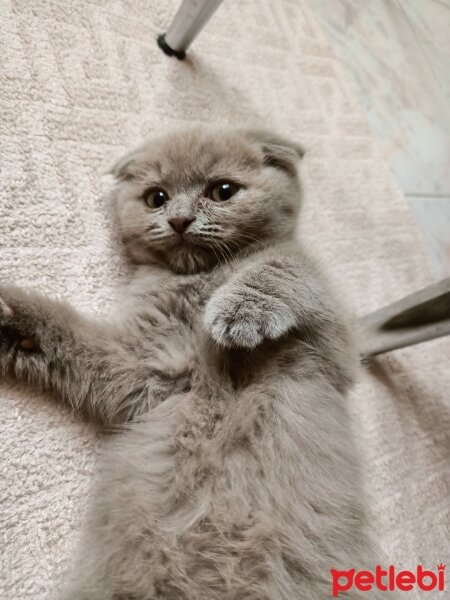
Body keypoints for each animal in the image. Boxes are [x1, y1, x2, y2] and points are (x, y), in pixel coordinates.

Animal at [0, 124, 390, 596]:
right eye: (156, 198)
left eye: (222, 191)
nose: (180, 220)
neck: (201, 279)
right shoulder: (145, 366)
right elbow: (75, 340)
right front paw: (9, 319)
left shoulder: (339, 351)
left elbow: (283, 267)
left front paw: (240, 309)